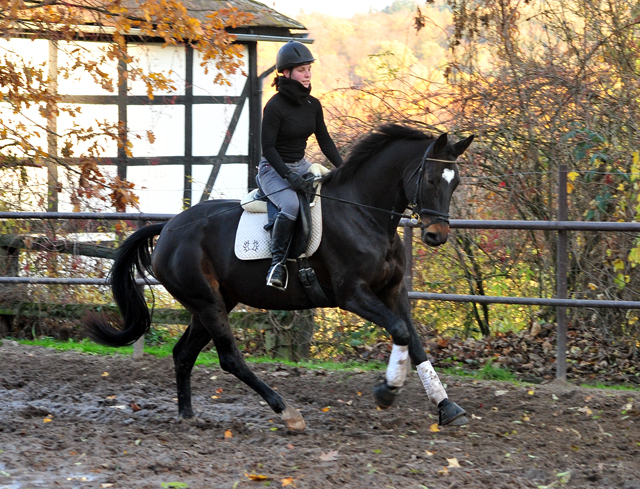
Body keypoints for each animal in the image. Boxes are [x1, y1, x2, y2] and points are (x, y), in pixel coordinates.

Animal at [86, 124, 476, 428]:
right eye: (430, 178)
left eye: (455, 182)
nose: (436, 235)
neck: (366, 215)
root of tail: (168, 227)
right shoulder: (352, 295)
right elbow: (399, 331)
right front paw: (386, 391)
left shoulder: (393, 291)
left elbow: (415, 340)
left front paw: (447, 407)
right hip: (207, 302)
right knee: (229, 358)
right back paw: (286, 411)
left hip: (214, 302)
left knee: (184, 353)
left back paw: (188, 415)